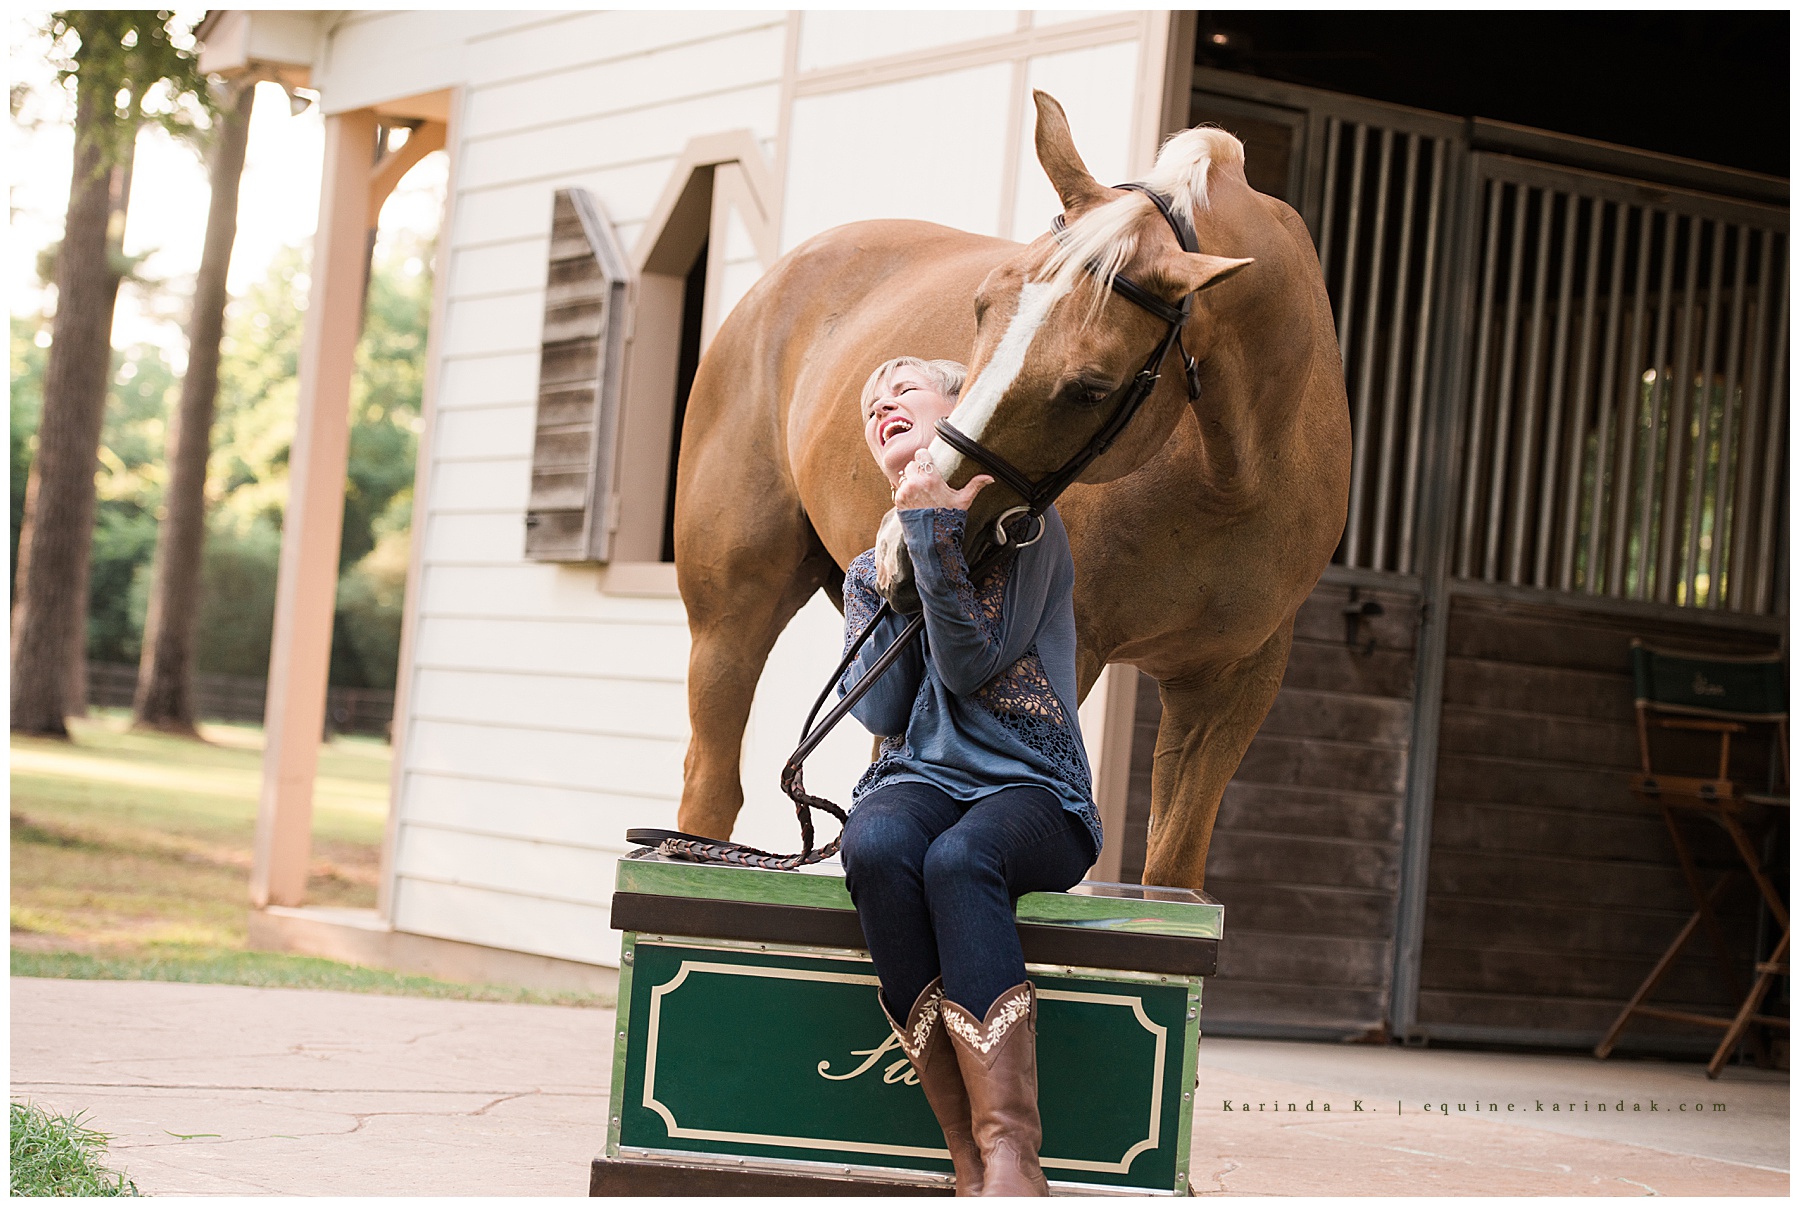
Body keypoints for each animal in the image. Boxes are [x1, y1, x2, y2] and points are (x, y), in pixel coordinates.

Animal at [670, 91, 1349, 891]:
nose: (901, 544)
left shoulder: (1232, 688)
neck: (1232, 477)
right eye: (981, 306)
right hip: (731, 616)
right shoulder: (1066, 658)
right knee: (712, 785)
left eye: (1090, 388)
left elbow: (1173, 871)